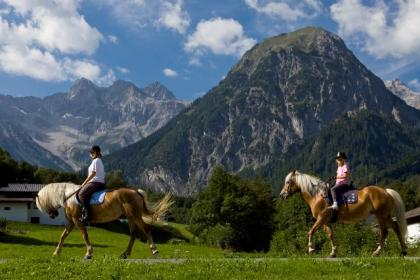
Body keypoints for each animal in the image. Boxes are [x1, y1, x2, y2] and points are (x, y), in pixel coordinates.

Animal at [36, 183, 172, 260]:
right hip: (130, 217)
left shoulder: (77, 221)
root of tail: (136, 192)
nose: (53, 215)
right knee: (133, 234)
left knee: (146, 229)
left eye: (40, 203)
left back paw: (154, 250)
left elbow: (84, 235)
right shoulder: (71, 222)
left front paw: (88, 254)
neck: (70, 197)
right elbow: (63, 236)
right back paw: (125, 254)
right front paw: (56, 253)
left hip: (135, 216)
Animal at [278, 170, 406, 258]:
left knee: (384, 231)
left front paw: (311, 249)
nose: (282, 195)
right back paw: (403, 251)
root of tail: (386, 191)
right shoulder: (325, 221)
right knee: (396, 227)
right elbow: (330, 234)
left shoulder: (321, 218)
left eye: (288, 182)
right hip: (386, 216)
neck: (319, 195)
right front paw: (333, 252)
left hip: (381, 215)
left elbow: (311, 231)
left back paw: (377, 252)